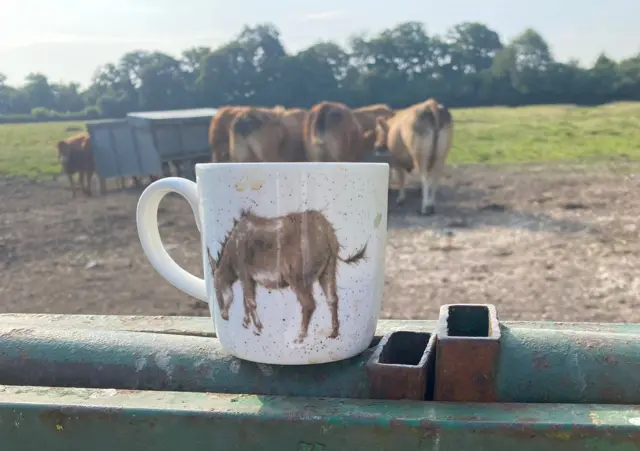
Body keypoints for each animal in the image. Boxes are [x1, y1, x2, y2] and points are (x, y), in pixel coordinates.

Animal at [205, 210, 364, 344]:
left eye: (216, 289)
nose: (224, 316)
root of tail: (325, 229)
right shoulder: (249, 279)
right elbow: (246, 301)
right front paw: (246, 322)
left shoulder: (245, 275)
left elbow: (250, 302)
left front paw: (258, 327)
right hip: (327, 271)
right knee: (332, 299)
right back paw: (334, 332)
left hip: (298, 280)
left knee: (309, 305)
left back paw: (300, 337)